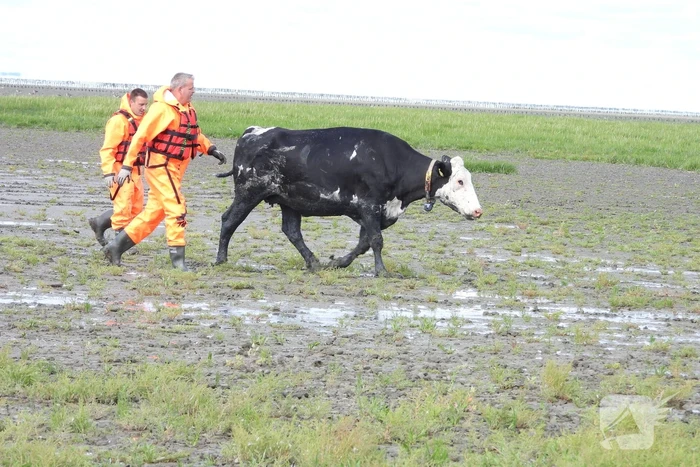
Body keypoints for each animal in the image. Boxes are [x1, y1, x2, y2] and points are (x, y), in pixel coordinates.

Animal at [215, 126, 482, 276]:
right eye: (459, 181)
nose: (478, 211)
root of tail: (251, 133)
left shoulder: (373, 213)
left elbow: (364, 243)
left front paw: (338, 262)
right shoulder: (369, 206)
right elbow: (376, 241)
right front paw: (382, 271)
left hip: (290, 202)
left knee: (292, 232)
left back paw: (314, 263)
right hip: (248, 193)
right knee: (229, 221)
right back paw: (221, 260)